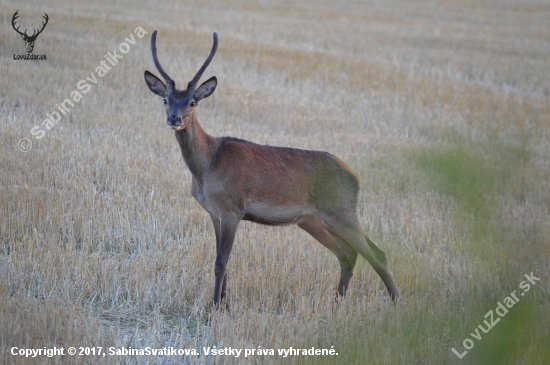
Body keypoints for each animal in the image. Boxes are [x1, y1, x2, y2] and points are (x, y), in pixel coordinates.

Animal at [143, 29, 402, 308]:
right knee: (347, 252)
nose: (174, 119)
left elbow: (221, 262)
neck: (207, 167)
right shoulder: (214, 212)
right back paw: (337, 302)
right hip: (311, 219)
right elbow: (224, 262)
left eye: (192, 102)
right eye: (165, 99)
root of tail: (356, 178)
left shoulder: (232, 208)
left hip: (341, 209)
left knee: (377, 253)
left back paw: (397, 302)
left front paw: (214, 308)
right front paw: (224, 304)